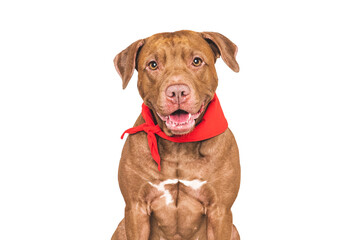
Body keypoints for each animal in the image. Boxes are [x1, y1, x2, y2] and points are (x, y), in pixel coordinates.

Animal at [112, 30, 242, 240]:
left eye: (196, 61)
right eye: (153, 64)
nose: (177, 91)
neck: (179, 145)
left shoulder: (220, 211)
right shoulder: (135, 208)